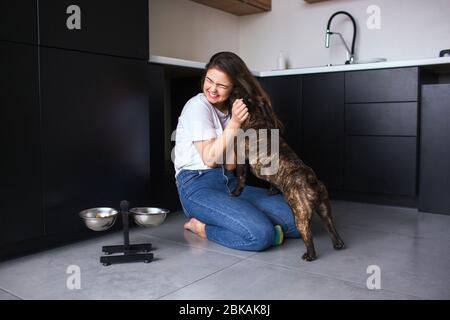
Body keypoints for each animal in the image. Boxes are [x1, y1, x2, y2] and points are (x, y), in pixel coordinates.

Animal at [230, 94, 342, 262]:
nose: (233, 96)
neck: (259, 117)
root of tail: (311, 179)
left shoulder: (241, 160)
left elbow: (240, 179)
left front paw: (235, 193)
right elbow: (272, 182)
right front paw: (272, 191)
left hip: (300, 215)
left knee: (308, 236)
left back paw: (309, 255)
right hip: (324, 208)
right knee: (330, 225)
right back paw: (337, 244)